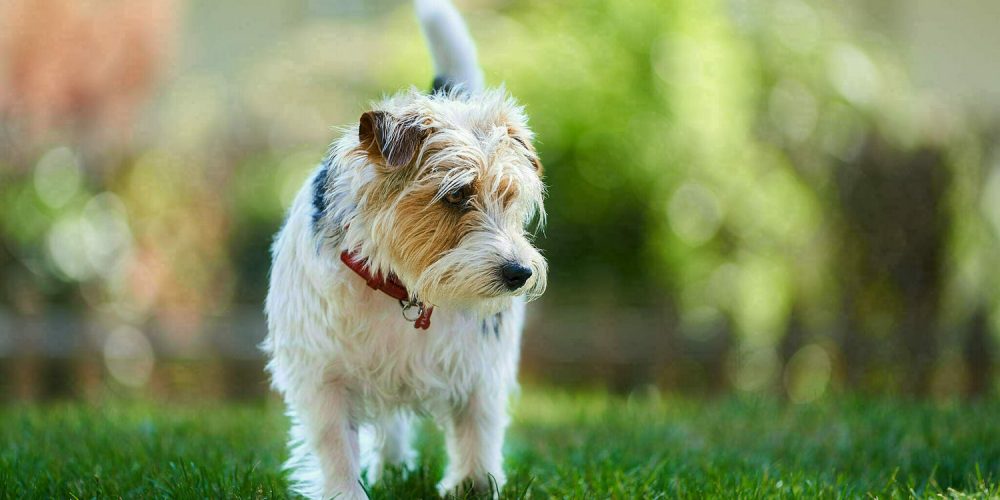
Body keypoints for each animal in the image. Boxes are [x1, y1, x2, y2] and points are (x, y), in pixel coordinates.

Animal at [262, 1, 548, 498]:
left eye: (510, 197)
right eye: (456, 195)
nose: (519, 273)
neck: (400, 288)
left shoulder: (481, 370)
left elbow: (477, 431)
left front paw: (474, 485)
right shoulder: (321, 374)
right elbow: (336, 445)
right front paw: (346, 491)